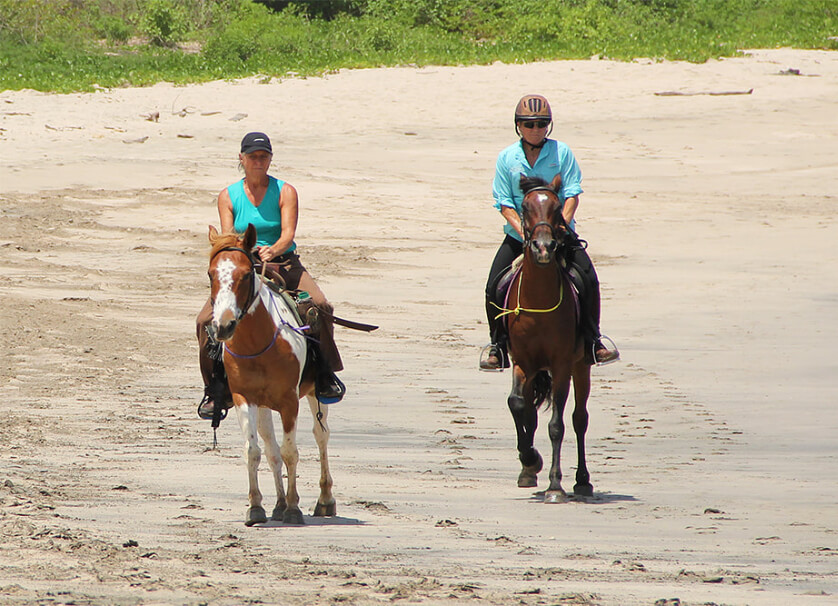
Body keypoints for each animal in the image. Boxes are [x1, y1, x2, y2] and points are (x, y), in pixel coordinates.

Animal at [207, 224, 334, 528]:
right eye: (210, 274)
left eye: (245, 274)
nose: (223, 326)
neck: (258, 342)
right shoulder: (243, 398)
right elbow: (254, 451)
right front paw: (256, 507)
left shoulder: (290, 402)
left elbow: (290, 452)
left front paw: (294, 509)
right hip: (263, 405)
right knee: (270, 448)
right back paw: (278, 504)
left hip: (315, 395)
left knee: (321, 436)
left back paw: (325, 500)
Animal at [502, 175, 592, 504]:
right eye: (525, 207)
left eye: (555, 208)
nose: (543, 247)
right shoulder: (522, 362)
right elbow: (518, 405)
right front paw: (530, 461)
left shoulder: (562, 364)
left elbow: (557, 425)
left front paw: (555, 486)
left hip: (582, 366)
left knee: (579, 419)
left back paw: (583, 481)